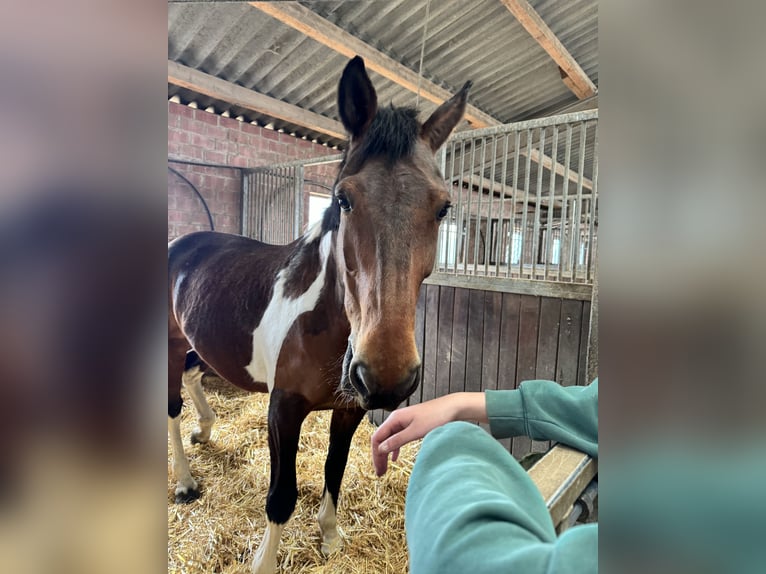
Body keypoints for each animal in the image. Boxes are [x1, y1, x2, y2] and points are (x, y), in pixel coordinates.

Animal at [169, 57, 472, 574]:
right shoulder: (283, 409)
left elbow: (335, 468)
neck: (322, 324)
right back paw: (186, 484)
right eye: (344, 198)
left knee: (193, 379)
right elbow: (281, 496)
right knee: (169, 408)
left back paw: (204, 429)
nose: (386, 375)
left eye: (443, 207)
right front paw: (265, 563)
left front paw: (329, 536)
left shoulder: (350, 410)